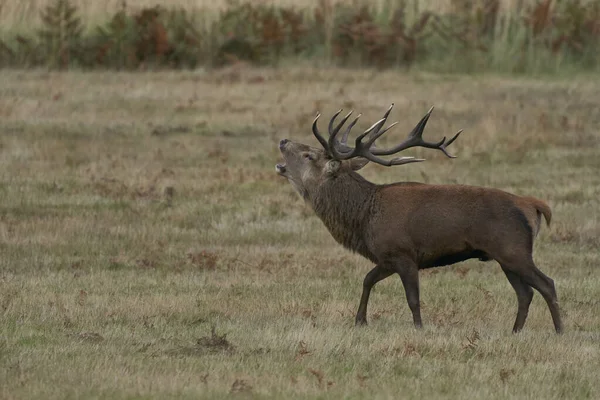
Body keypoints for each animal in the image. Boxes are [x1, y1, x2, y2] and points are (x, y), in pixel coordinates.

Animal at [276, 104, 564, 334]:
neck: (363, 218)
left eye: (309, 155)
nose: (283, 141)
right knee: (525, 293)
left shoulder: (403, 253)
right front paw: (360, 321)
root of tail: (533, 205)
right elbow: (367, 279)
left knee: (546, 284)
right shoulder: (387, 257)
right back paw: (515, 331)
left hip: (514, 249)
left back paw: (559, 330)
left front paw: (419, 328)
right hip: (504, 255)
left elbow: (412, 298)